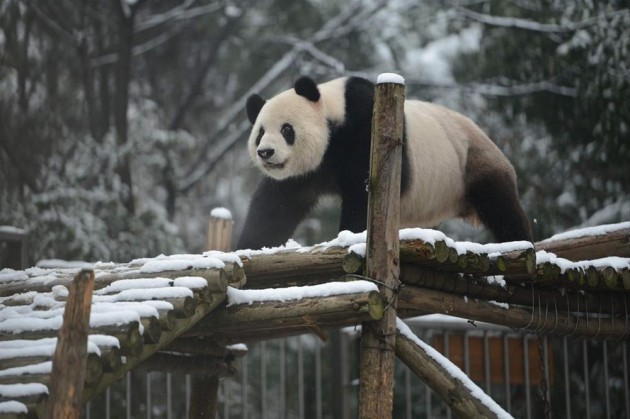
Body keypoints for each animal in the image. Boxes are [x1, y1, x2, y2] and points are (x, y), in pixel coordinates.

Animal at [237, 76, 532, 251]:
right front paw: (248, 247)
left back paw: (519, 242)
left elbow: (364, 193)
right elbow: (275, 207)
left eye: (287, 129)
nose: (266, 152)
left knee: (501, 207)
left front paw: (352, 236)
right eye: (260, 133)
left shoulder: (362, 128)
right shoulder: (302, 173)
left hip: (472, 162)